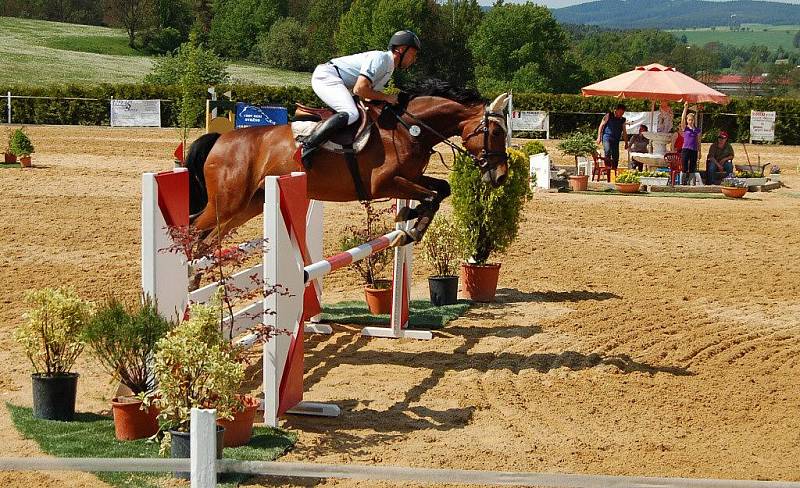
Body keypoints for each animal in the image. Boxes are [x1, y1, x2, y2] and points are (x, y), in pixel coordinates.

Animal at [184, 80, 510, 252]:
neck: (409, 129)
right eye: (495, 132)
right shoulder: (383, 183)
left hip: (248, 205)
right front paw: (410, 227)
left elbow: (442, 189)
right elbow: (432, 195)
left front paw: (409, 219)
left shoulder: (411, 177)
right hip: (227, 204)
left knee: (207, 241)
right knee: (195, 235)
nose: (501, 177)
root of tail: (220, 139)